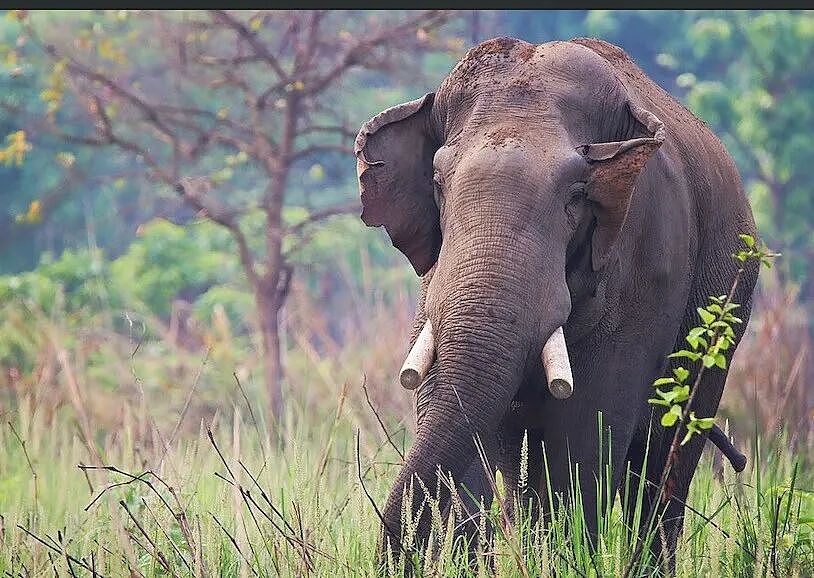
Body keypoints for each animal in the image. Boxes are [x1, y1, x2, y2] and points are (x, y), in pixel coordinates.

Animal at [355, 36, 758, 570]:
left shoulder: (648, 259)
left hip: (723, 318)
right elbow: (454, 405)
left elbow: (586, 427)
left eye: (576, 194)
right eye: (438, 183)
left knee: (665, 462)